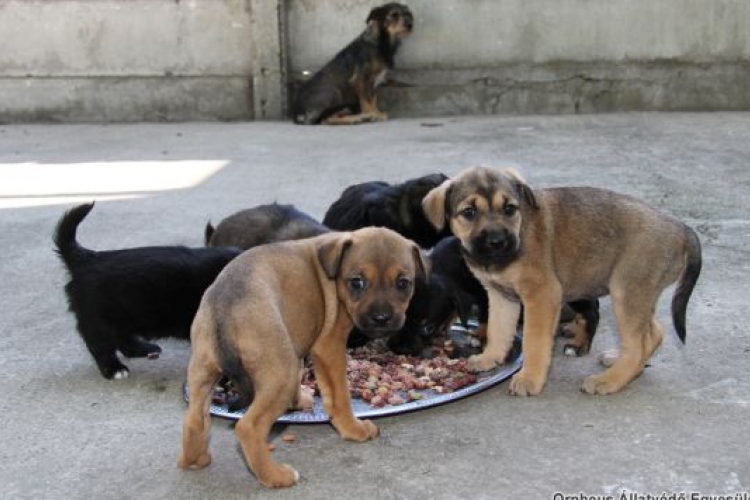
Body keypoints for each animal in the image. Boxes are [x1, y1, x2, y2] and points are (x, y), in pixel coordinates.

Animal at [53, 203, 241, 378]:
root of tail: (86, 258)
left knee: (122, 337)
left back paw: (142, 349)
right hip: (99, 318)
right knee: (100, 344)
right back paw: (114, 369)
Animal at [175, 227, 424, 488]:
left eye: (403, 283)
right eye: (357, 282)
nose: (381, 318)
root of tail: (225, 308)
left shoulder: (298, 346)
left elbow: (301, 375)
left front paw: (300, 401)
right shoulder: (329, 347)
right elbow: (339, 396)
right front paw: (354, 429)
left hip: (203, 371)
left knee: (195, 420)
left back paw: (195, 460)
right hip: (279, 374)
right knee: (248, 427)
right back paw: (275, 476)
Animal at [424, 166, 704, 396]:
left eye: (509, 209)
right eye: (469, 212)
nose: (497, 242)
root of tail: (680, 227)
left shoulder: (541, 296)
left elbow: (534, 341)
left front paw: (530, 379)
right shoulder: (501, 297)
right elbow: (498, 331)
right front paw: (489, 358)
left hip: (626, 292)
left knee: (637, 346)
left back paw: (608, 381)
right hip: (638, 295)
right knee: (653, 333)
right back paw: (618, 361)